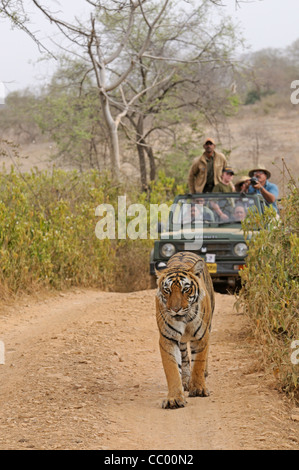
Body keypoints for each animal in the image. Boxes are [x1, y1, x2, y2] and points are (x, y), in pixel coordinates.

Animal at [155, 252, 216, 410]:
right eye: (167, 290)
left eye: (186, 289)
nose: (175, 309)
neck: (185, 320)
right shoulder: (168, 338)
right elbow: (172, 369)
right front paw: (174, 399)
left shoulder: (201, 336)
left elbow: (199, 363)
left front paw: (199, 389)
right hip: (181, 341)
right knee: (184, 358)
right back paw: (185, 381)